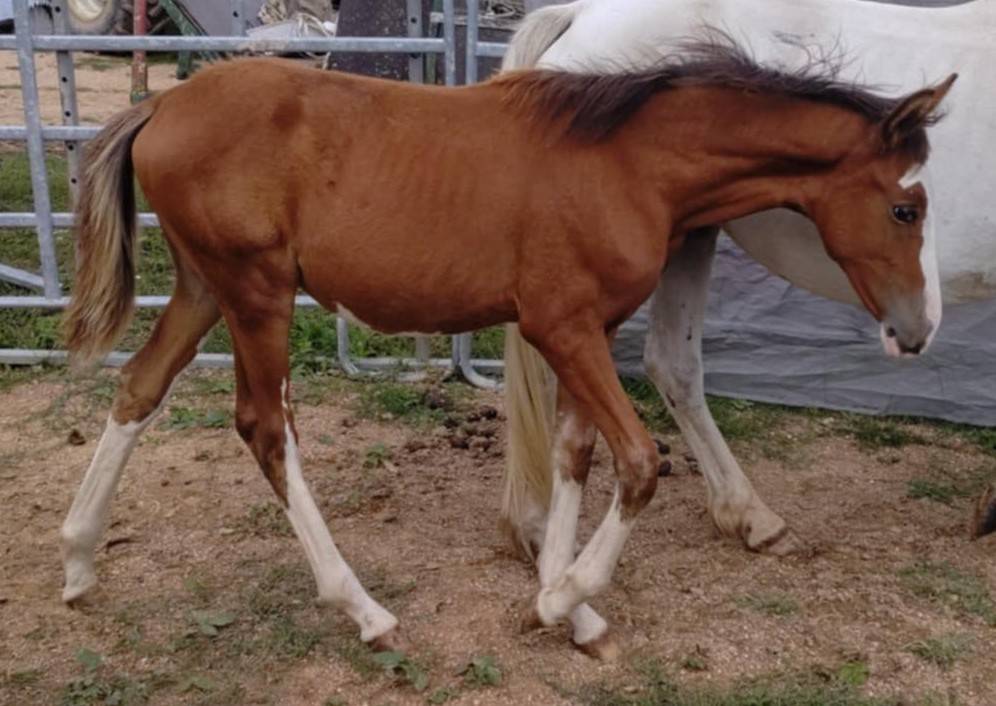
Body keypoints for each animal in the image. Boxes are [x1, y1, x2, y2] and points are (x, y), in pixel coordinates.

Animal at [60, 47, 952, 655]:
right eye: (906, 209)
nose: (917, 330)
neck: (628, 162)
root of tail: (161, 107)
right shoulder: (562, 327)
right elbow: (638, 462)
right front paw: (561, 601)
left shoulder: (586, 329)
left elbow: (574, 454)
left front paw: (571, 605)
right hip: (257, 294)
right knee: (264, 428)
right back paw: (364, 610)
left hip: (203, 289)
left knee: (138, 388)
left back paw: (77, 559)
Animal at [500, 0, 996, 575]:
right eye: (904, 211)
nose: (920, 327)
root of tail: (578, 17)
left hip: (689, 233)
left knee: (670, 364)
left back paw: (746, 517)